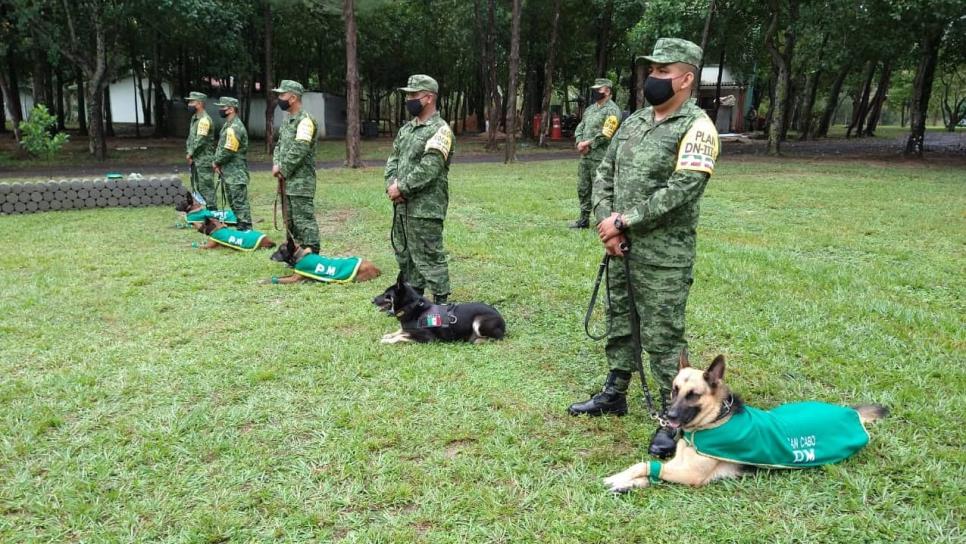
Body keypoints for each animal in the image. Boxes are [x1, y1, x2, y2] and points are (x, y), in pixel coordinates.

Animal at [372, 276, 510, 344]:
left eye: (387, 295)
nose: (372, 300)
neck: (412, 307)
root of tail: (502, 320)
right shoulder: (408, 329)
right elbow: (401, 331)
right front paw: (389, 335)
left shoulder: (428, 338)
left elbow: (402, 336)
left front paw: (387, 340)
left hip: (479, 322)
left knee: (497, 338)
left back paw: (479, 340)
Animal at [604, 352, 892, 492]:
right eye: (674, 391)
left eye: (693, 395)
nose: (668, 417)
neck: (713, 421)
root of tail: (849, 413)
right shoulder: (677, 466)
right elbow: (646, 471)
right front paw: (625, 483)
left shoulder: (688, 474)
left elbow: (644, 465)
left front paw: (618, 478)